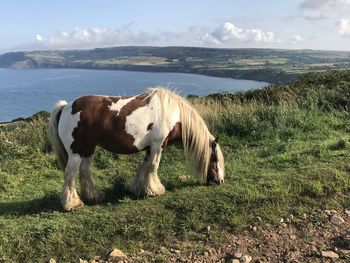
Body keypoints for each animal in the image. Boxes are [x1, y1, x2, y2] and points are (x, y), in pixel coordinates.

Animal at [48, 87, 224, 211]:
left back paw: (94, 196)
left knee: (85, 171)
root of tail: (66, 107)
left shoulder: (150, 147)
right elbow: (153, 166)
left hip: (88, 149)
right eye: (215, 159)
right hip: (76, 152)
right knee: (70, 174)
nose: (220, 181)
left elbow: (144, 166)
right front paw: (156, 190)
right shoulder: (157, 145)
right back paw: (72, 204)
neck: (174, 113)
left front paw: (139, 189)